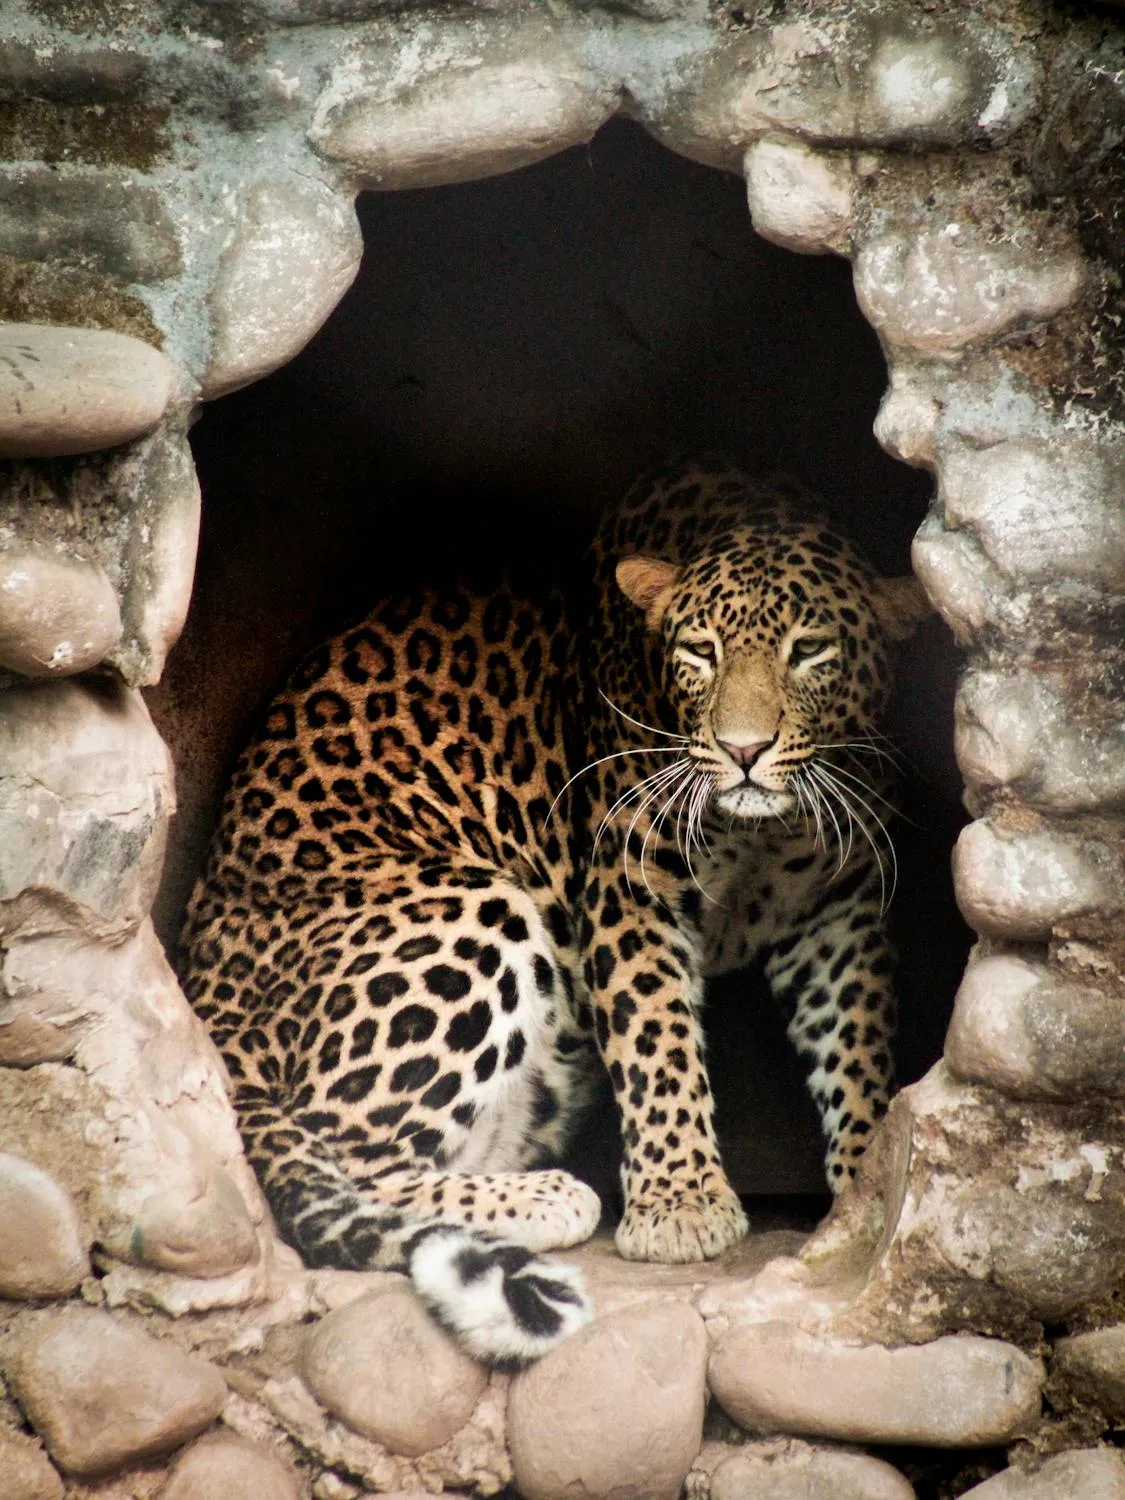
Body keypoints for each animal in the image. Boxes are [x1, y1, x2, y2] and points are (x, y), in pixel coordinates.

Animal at [179, 458, 930, 1368]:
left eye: (809, 651)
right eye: (700, 652)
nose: (743, 750)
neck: (764, 827)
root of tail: (208, 1004)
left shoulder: (839, 906)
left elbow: (855, 1047)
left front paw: (866, 1189)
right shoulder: (629, 883)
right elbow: (656, 1041)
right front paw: (680, 1207)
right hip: (470, 905)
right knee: (343, 1150)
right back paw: (549, 1198)